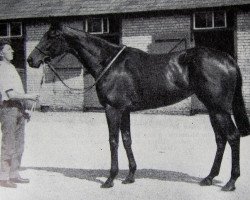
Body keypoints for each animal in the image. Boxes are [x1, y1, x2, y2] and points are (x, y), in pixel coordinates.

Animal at [27, 22, 250, 191]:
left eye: (51, 36)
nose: (31, 59)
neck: (108, 62)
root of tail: (228, 59)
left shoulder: (112, 109)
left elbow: (113, 141)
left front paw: (110, 179)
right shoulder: (124, 110)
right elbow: (127, 140)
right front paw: (130, 176)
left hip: (220, 110)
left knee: (232, 137)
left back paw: (230, 182)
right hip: (213, 109)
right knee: (220, 140)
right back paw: (209, 178)